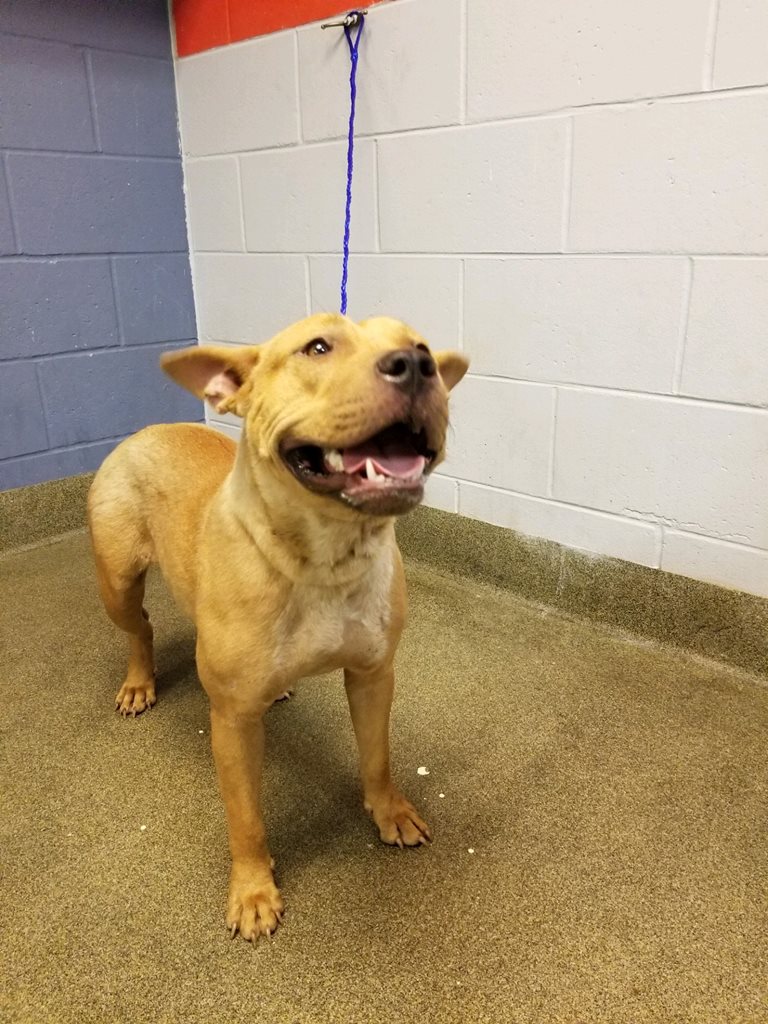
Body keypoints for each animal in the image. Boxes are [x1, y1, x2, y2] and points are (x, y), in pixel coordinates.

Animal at [86, 313, 466, 942]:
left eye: (422, 346)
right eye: (318, 347)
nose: (416, 366)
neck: (323, 558)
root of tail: (150, 428)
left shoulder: (373, 676)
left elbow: (378, 758)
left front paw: (388, 812)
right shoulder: (233, 721)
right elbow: (246, 818)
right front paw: (253, 890)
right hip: (116, 581)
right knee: (138, 628)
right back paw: (140, 682)